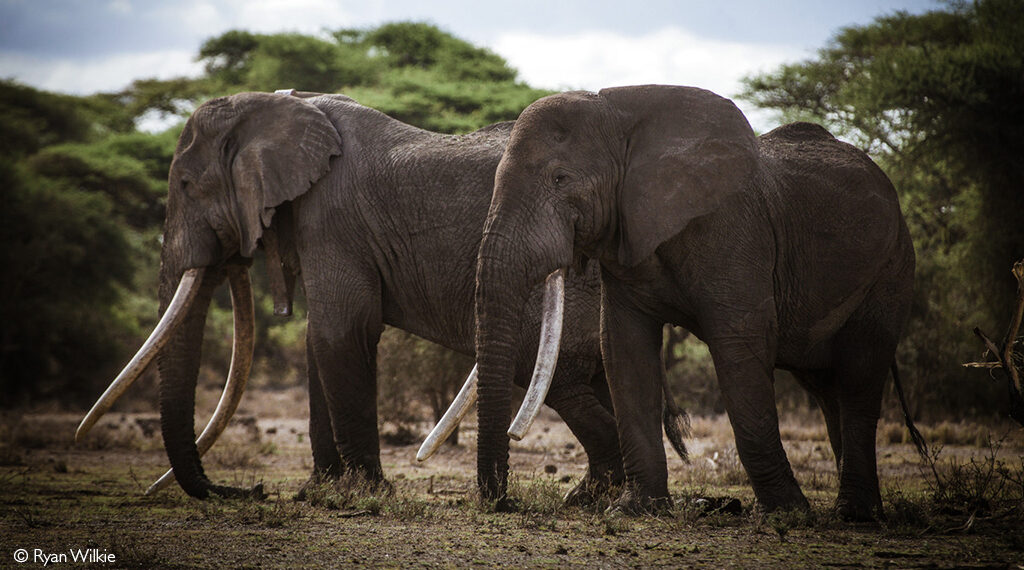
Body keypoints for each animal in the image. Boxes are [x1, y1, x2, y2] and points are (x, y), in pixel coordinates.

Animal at [75, 88, 688, 501]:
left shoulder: (331, 218)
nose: (250, 492)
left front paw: (364, 493)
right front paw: (317, 493)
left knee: (552, 373)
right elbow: (318, 344)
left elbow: (339, 333)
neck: (276, 107)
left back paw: (590, 496)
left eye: (184, 185)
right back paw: (594, 497)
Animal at [464, 84, 929, 519]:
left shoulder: (734, 230)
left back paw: (855, 514)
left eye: (560, 179)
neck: (619, 117)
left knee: (859, 378)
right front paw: (635, 509)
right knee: (826, 386)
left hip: (892, 269)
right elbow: (624, 351)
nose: (504, 502)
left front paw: (785, 513)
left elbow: (740, 349)